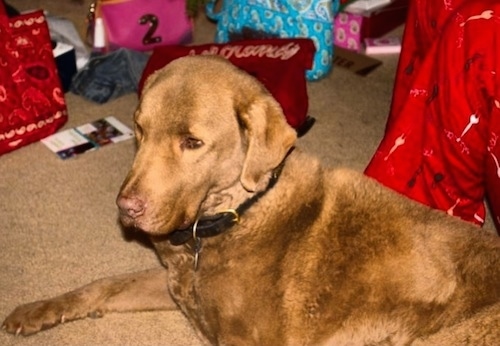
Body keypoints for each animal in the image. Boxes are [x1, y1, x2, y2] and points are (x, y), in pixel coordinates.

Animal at [3, 55, 500, 344]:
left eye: (192, 142)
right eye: (140, 129)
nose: (126, 209)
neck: (236, 214)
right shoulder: (175, 283)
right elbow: (103, 284)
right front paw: (37, 310)